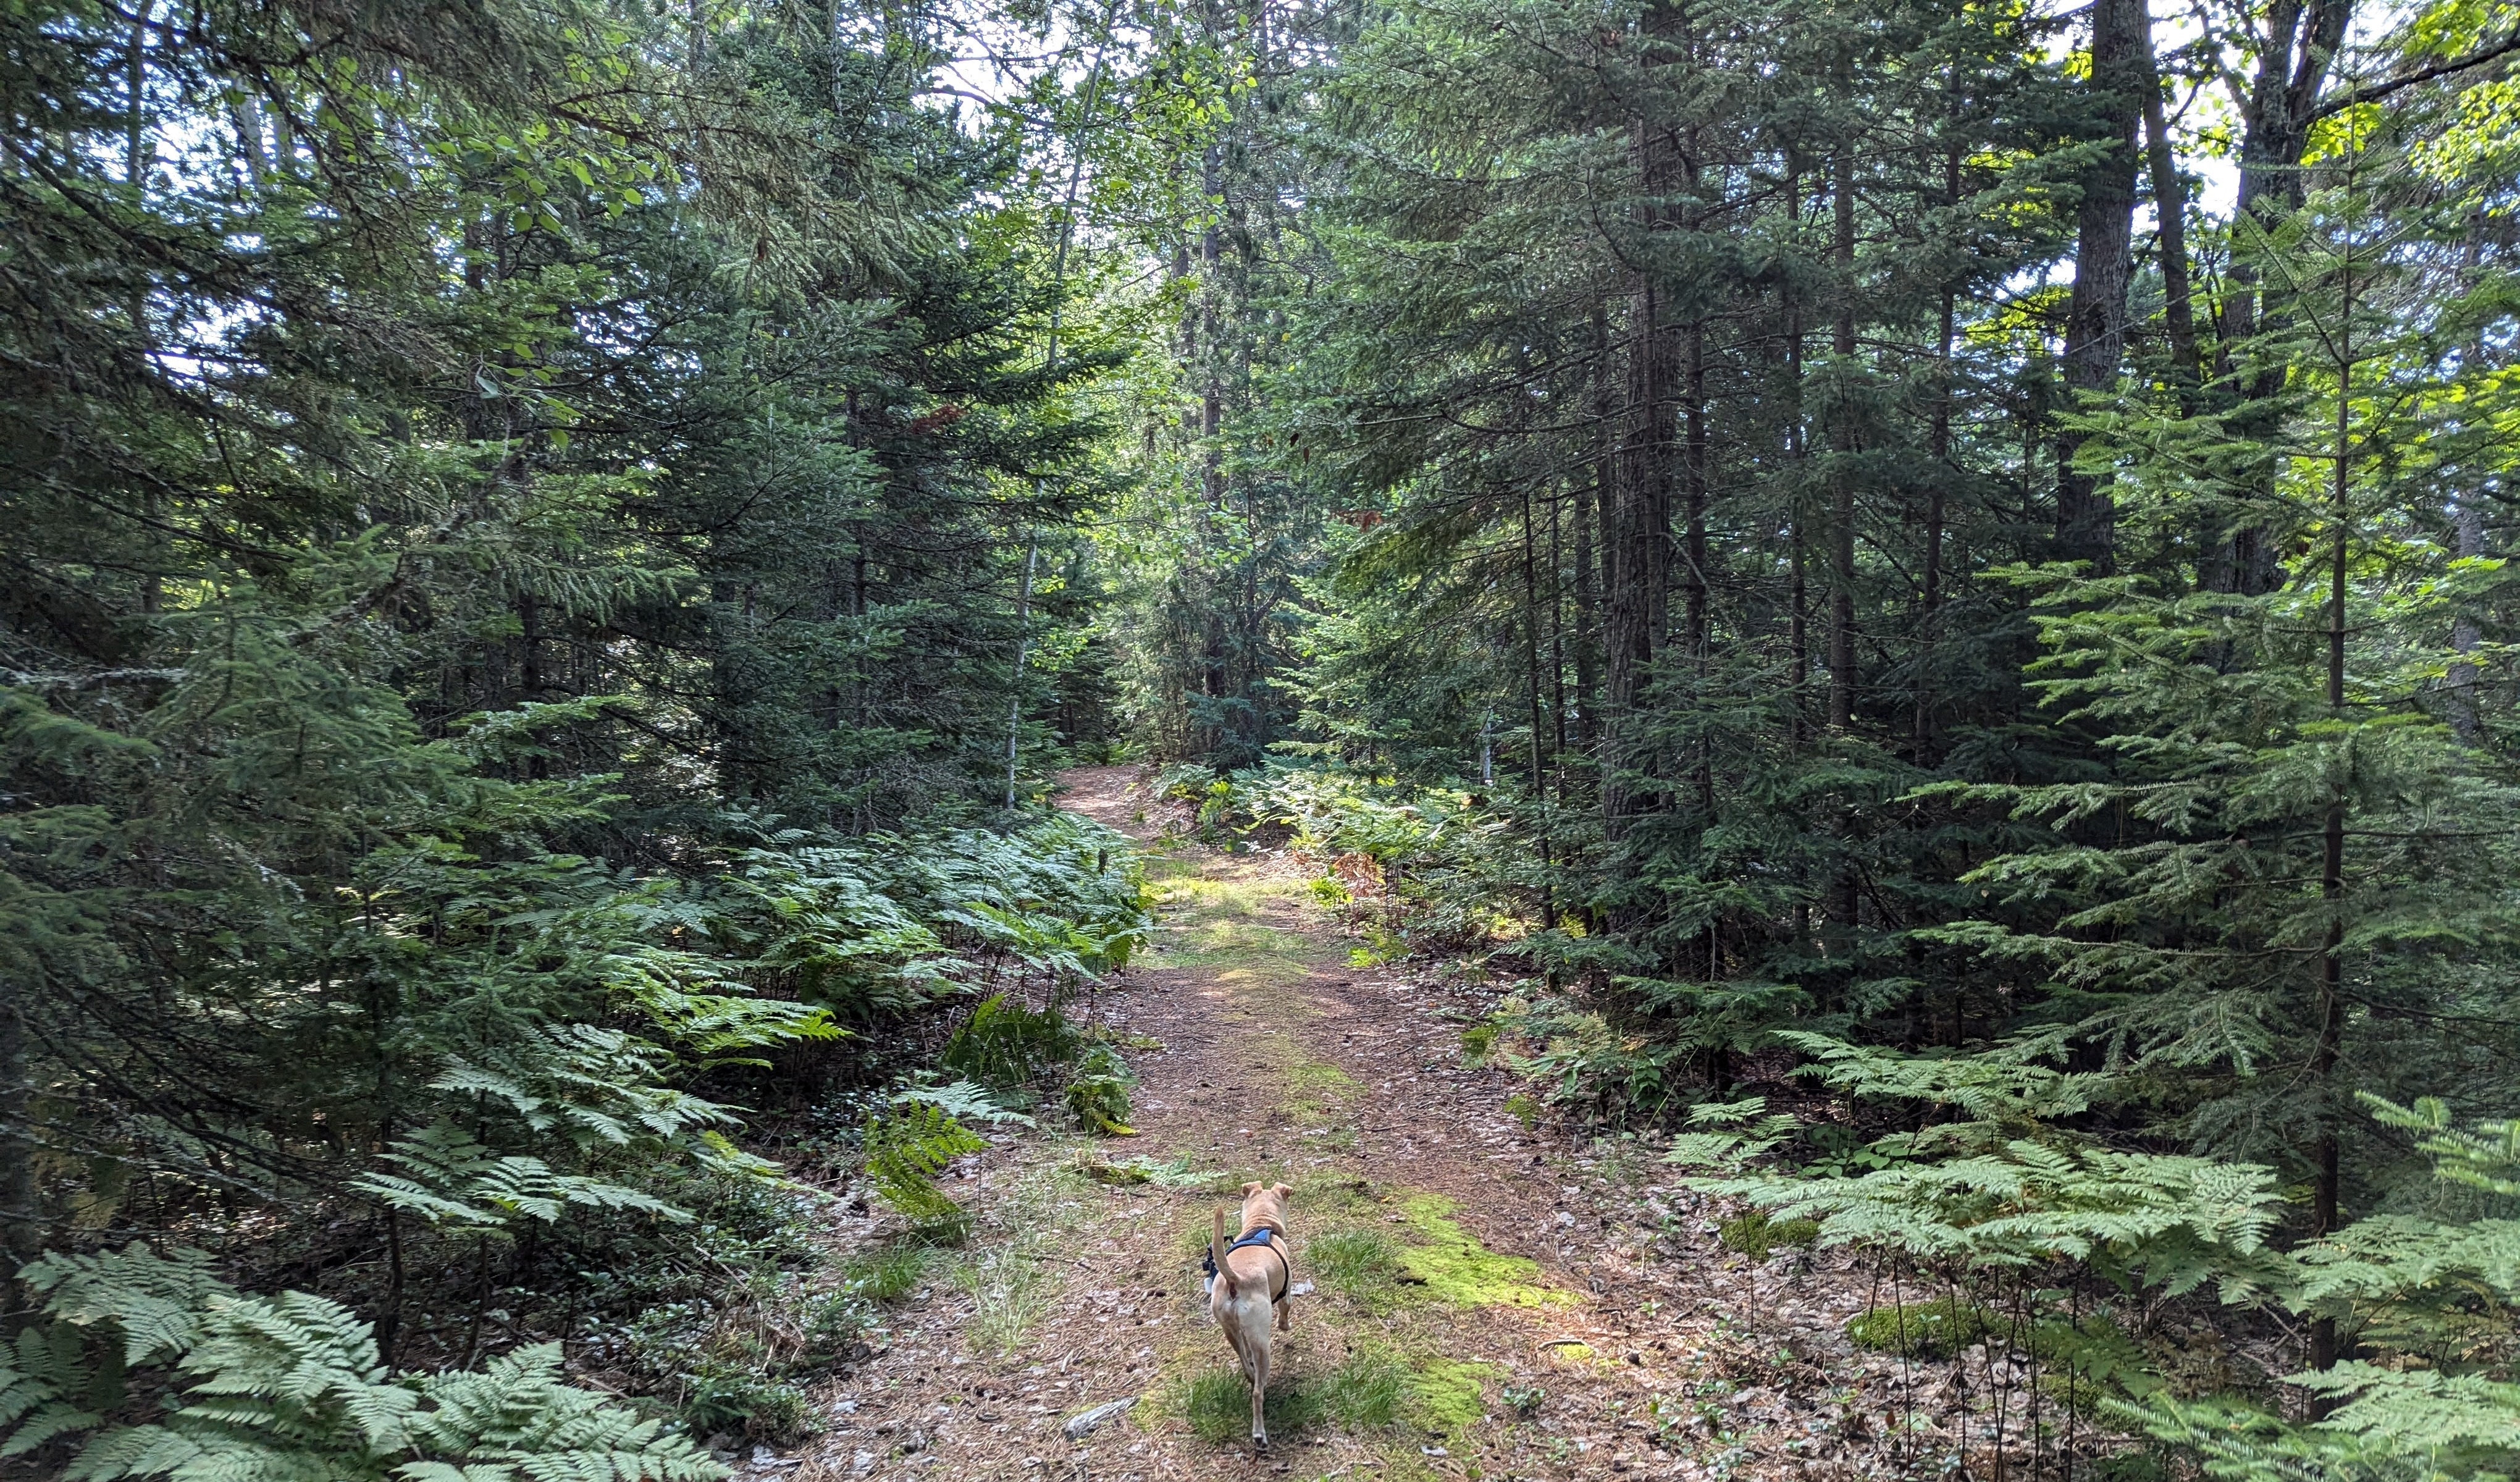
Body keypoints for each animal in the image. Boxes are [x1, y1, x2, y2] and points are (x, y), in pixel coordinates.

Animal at [1205, 1180, 1294, 1450]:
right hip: (1261, 1340)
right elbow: (1286, 1310)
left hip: (1230, 1330)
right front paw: (1285, 1325)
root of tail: (1235, 1278)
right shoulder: (1287, 1291)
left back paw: (1252, 1373)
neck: (1260, 1226)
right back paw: (1259, 1434)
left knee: (1245, 1363)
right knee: (1257, 1393)